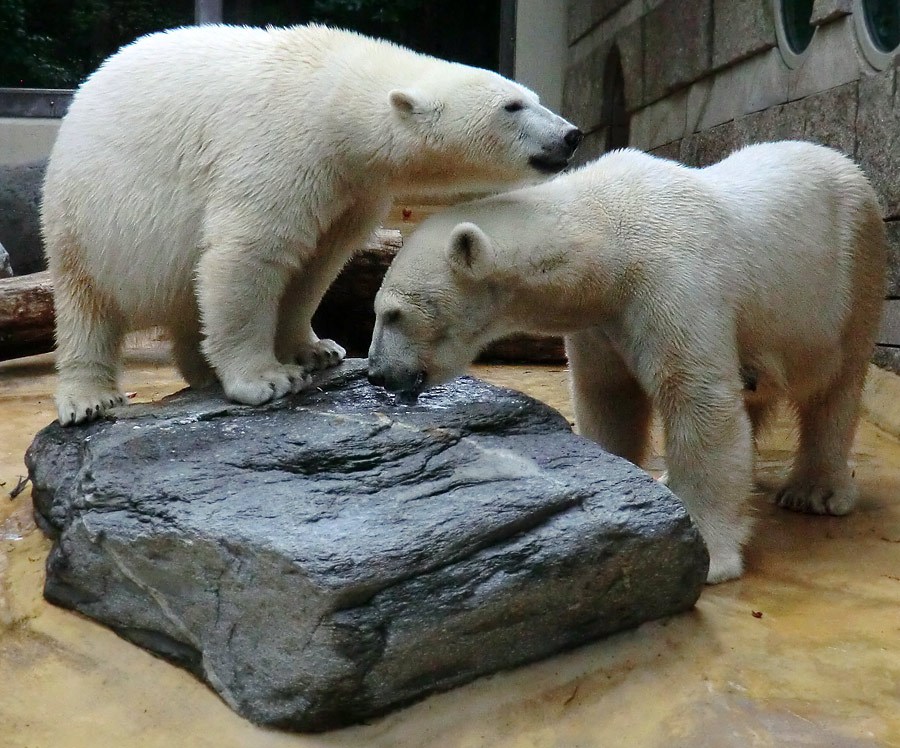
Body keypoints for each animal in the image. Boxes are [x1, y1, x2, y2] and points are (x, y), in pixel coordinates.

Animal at [42, 24, 580, 426]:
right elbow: (249, 252)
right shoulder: (280, 146)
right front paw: (265, 379)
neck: (333, 93)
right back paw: (89, 397)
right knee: (87, 304)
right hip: (90, 213)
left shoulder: (351, 186)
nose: (571, 135)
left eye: (532, 97)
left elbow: (318, 261)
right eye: (512, 107)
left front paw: (317, 350)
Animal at [366, 140, 884, 584]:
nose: (376, 372)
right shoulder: (603, 319)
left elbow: (697, 400)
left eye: (393, 314)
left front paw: (707, 551)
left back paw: (813, 491)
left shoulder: (674, 281)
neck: (608, 235)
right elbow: (610, 397)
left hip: (850, 275)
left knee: (836, 387)